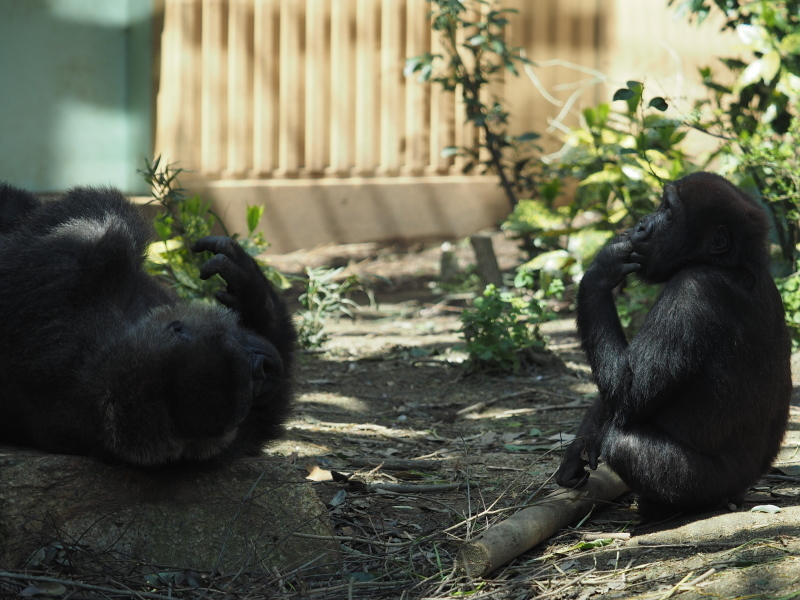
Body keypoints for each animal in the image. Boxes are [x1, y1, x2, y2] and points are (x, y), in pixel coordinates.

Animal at [556, 171, 792, 516]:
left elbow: (628, 392)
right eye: (660, 205)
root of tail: (745, 489)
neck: (732, 265)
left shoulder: (690, 291)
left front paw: (600, 270)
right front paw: (579, 446)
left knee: (624, 442)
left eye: (668, 212)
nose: (641, 224)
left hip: (713, 484)